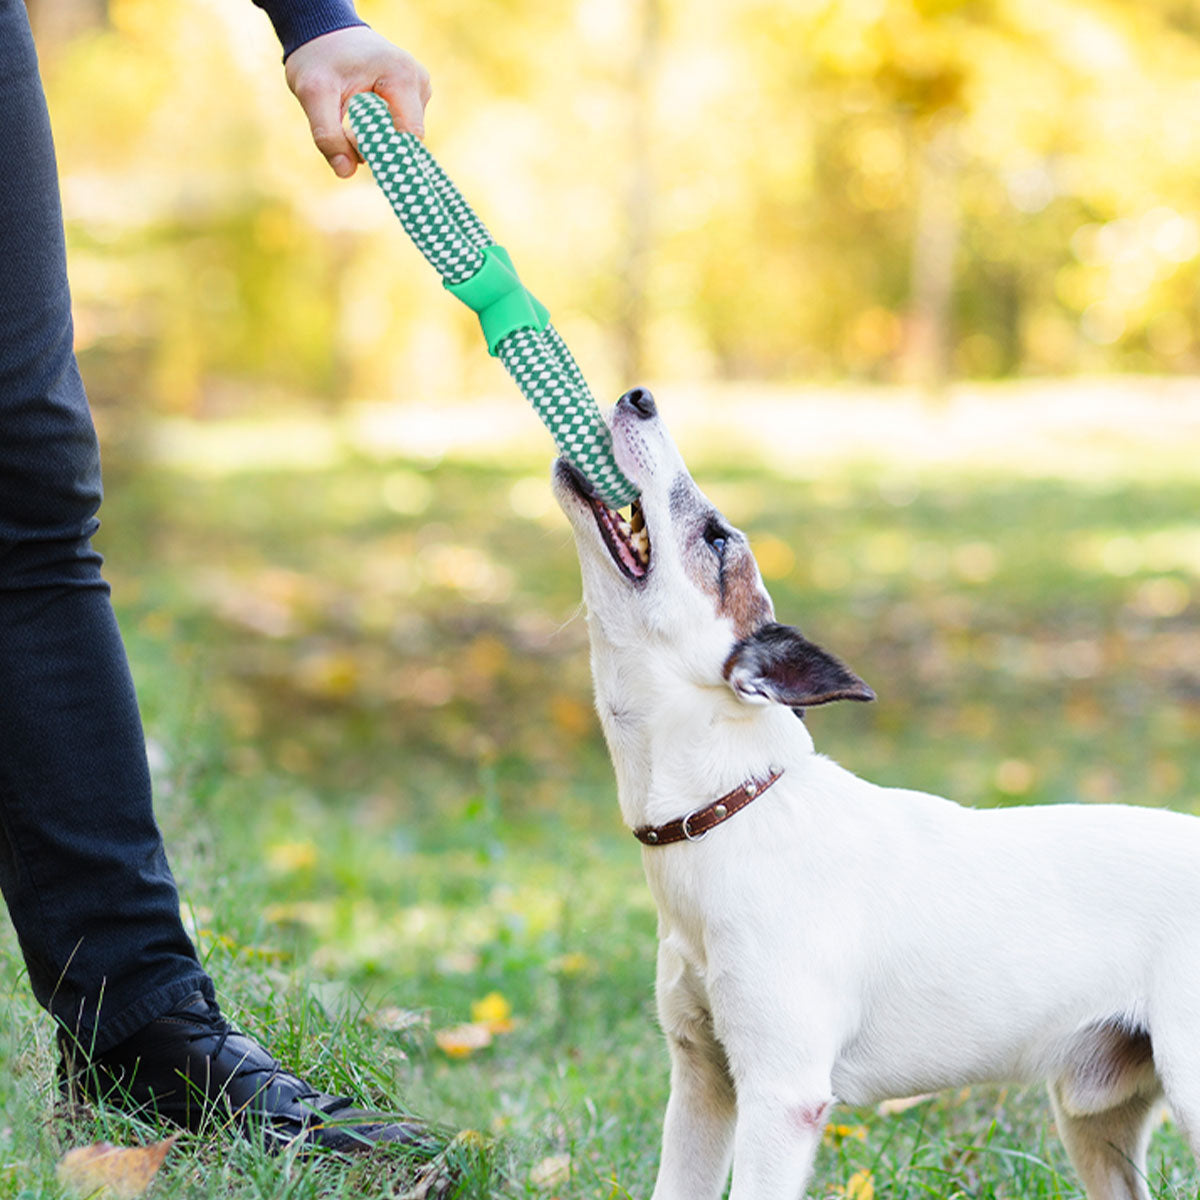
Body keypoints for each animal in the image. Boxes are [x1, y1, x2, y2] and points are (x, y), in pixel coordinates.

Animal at [552, 386, 1200, 1200]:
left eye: (717, 538)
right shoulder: (701, 1083)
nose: (639, 397)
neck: (732, 809)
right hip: (1094, 1120)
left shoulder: (780, 1095)